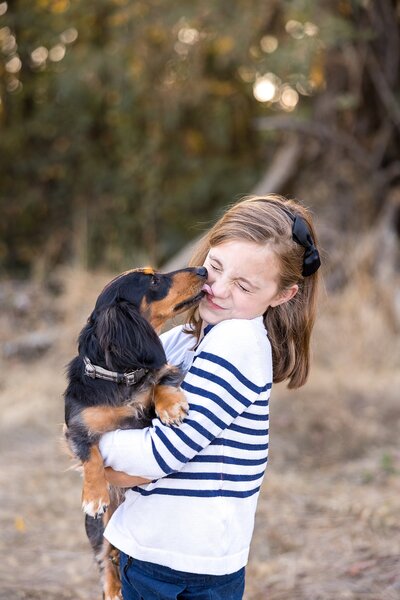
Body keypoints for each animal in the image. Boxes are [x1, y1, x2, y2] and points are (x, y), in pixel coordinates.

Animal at [64, 268, 208, 600]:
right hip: (100, 529)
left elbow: (160, 380)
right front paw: (94, 494)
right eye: (153, 281)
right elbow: (90, 454)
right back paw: (114, 585)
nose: (203, 270)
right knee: (104, 554)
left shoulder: (158, 381)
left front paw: (170, 405)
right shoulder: (74, 427)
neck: (120, 376)